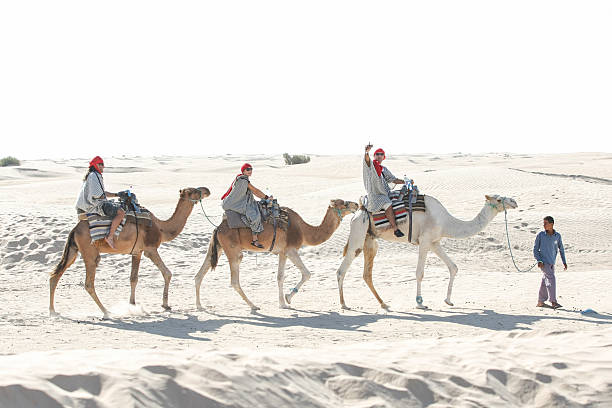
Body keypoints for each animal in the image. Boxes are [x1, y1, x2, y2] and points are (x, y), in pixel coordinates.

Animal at [49, 186, 210, 318]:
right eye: (194, 191)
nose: (207, 190)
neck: (161, 228)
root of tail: (74, 229)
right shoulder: (150, 249)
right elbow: (167, 273)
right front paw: (165, 304)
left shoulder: (136, 252)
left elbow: (133, 278)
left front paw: (132, 305)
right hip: (90, 252)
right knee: (88, 283)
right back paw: (106, 312)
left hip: (73, 250)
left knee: (55, 275)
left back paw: (53, 311)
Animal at [195, 199, 358, 310]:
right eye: (343, 204)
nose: (356, 204)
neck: (304, 231)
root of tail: (218, 228)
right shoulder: (291, 249)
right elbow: (307, 273)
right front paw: (288, 298)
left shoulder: (282, 252)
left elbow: (280, 277)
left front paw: (282, 303)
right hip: (233, 250)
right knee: (234, 280)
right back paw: (253, 306)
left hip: (218, 247)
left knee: (200, 274)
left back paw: (199, 306)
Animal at [334, 194, 516, 310]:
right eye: (499, 199)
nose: (514, 202)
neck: (446, 222)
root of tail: (358, 212)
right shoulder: (424, 240)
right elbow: (419, 273)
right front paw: (420, 303)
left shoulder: (435, 242)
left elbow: (453, 267)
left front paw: (448, 300)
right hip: (359, 232)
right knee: (342, 270)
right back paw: (343, 304)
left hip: (370, 240)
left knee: (367, 274)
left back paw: (384, 303)